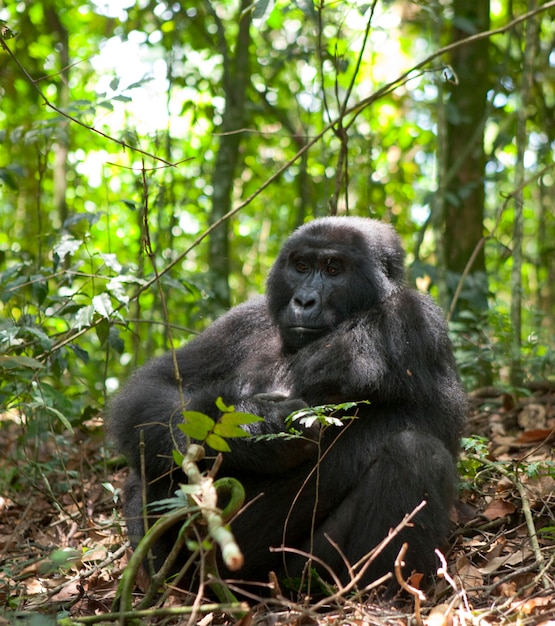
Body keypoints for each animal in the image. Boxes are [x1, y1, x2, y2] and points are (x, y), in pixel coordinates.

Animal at [111, 217, 466, 592]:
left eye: (333, 268)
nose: (305, 300)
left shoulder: (411, 318)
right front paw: (260, 427)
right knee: (150, 456)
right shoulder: (244, 318)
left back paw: (378, 591)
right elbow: (151, 391)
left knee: (415, 452)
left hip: (299, 575)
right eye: (301, 266)